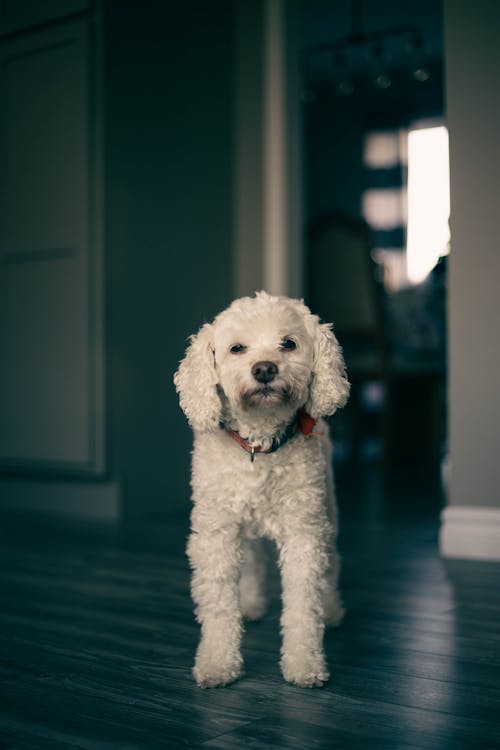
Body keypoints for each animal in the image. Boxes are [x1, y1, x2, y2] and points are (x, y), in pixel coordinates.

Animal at [174, 290, 350, 692]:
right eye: (237, 348)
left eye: (289, 344)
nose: (265, 369)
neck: (259, 443)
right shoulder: (217, 533)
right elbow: (218, 605)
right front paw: (218, 662)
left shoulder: (304, 533)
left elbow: (304, 605)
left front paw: (304, 663)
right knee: (253, 558)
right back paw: (251, 603)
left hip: (327, 510)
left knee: (332, 561)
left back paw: (333, 608)